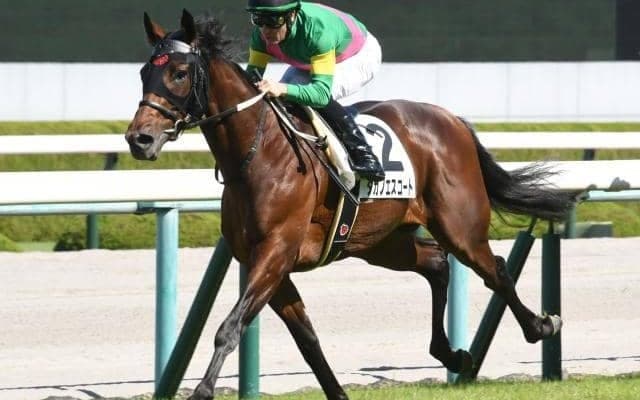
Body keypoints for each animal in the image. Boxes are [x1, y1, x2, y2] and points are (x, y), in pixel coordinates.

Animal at [126, 10, 573, 400]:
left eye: (179, 73)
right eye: (145, 72)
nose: (139, 139)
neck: (259, 155)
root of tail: (452, 119)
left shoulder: (275, 253)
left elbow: (230, 327)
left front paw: (202, 391)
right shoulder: (265, 262)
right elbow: (307, 339)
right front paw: (337, 391)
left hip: (458, 225)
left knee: (494, 269)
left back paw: (541, 325)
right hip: (380, 242)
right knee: (435, 263)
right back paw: (452, 354)